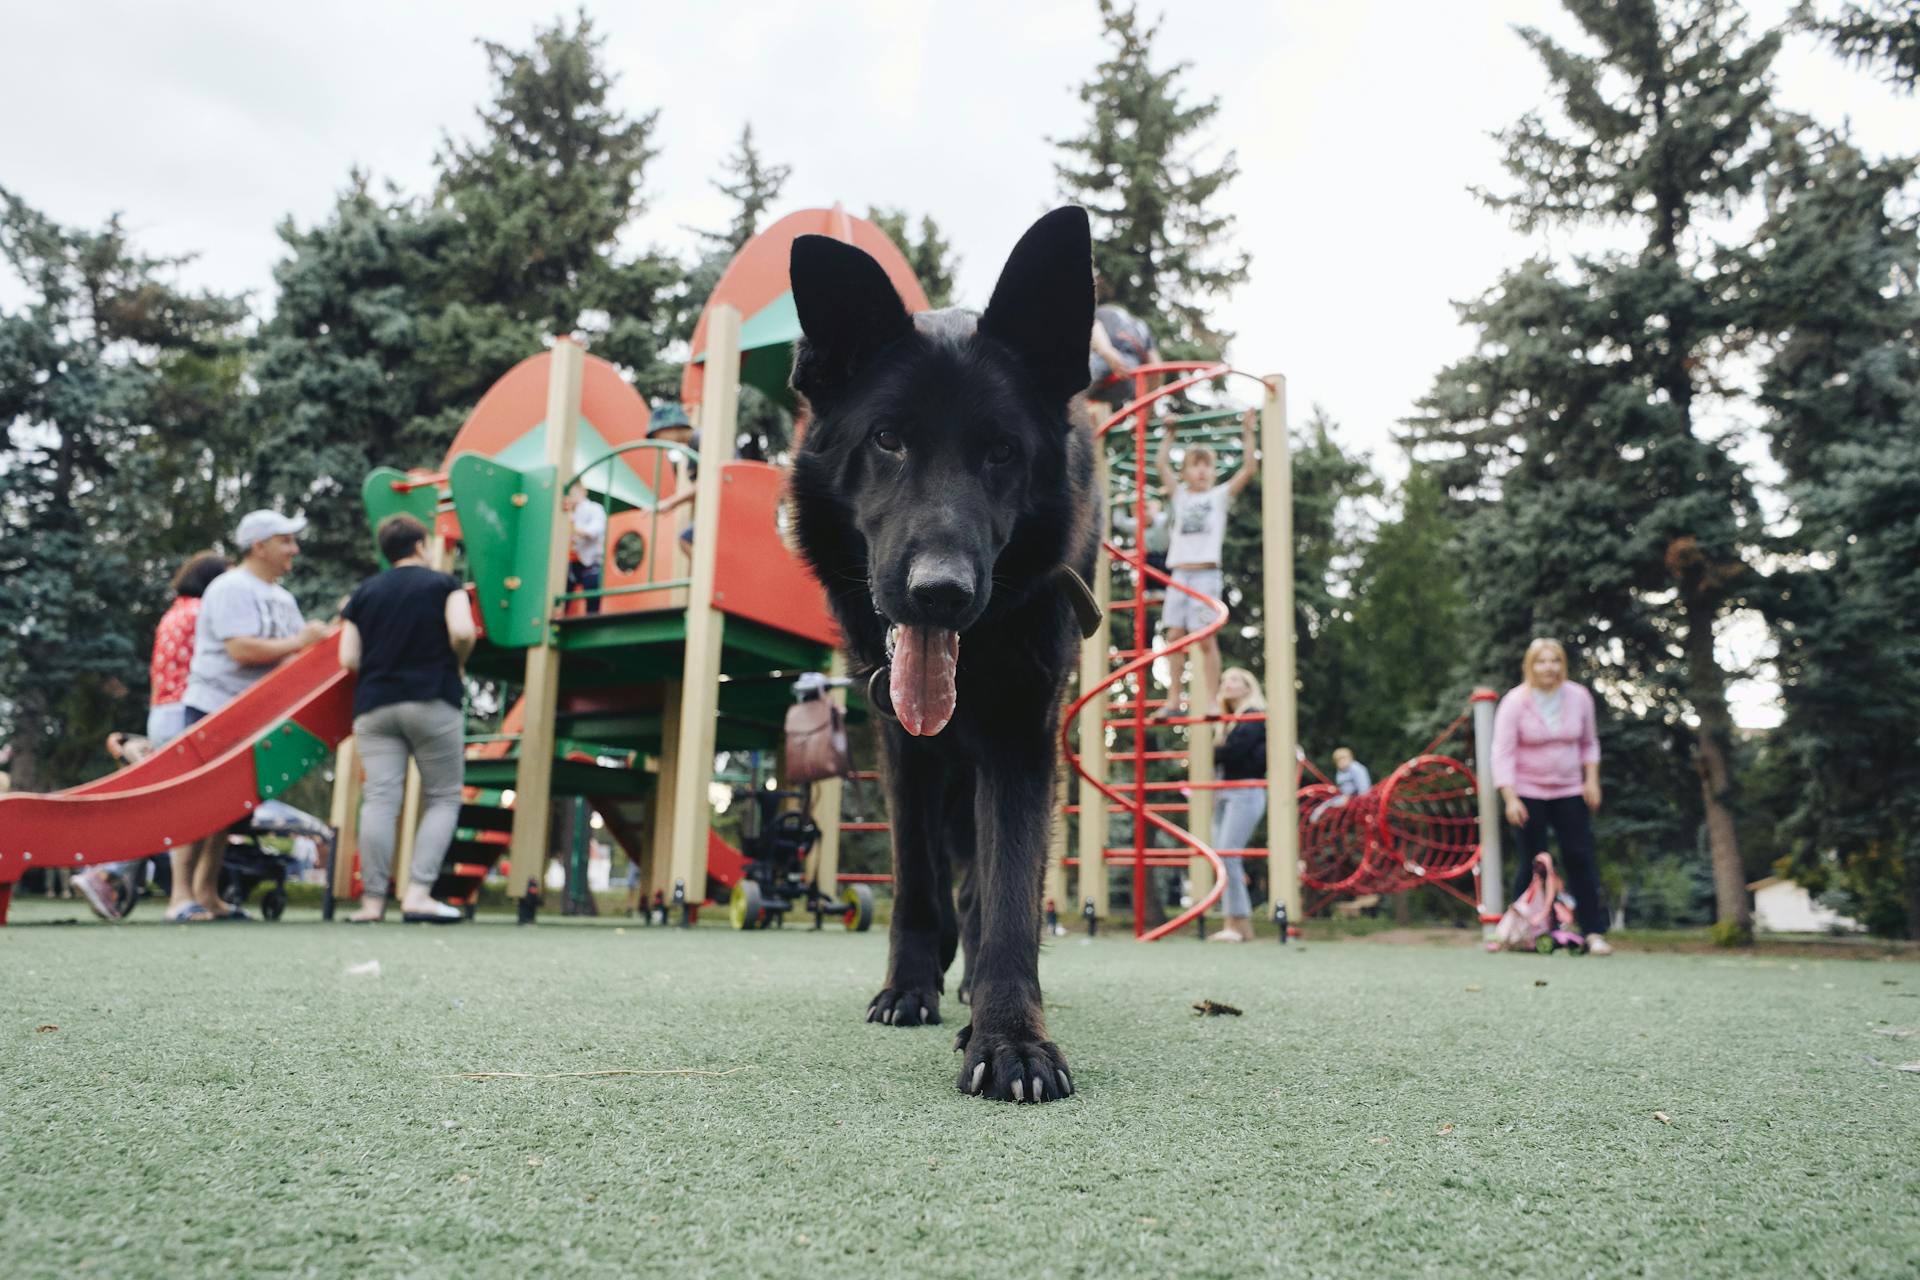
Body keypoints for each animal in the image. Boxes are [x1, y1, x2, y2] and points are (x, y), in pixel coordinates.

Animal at [783, 202, 1098, 1105]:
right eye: (888, 438)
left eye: (1002, 452)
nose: (941, 592)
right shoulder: (902, 741)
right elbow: (917, 880)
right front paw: (909, 987)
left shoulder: (1023, 735)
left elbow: (1011, 889)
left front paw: (1010, 1035)